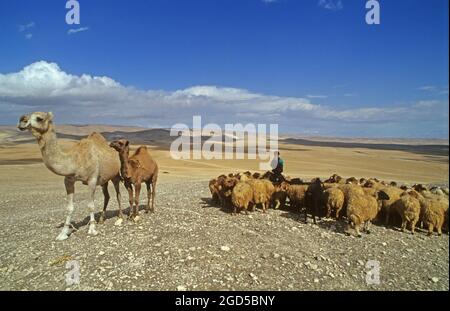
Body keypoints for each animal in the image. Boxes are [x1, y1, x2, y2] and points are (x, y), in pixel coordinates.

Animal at [17, 112, 123, 241]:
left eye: (39, 118)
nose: (22, 120)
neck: (75, 160)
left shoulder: (92, 180)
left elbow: (90, 205)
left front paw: (92, 230)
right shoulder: (68, 180)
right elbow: (69, 208)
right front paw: (63, 233)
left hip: (115, 175)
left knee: (118, 194)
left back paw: (120, 218)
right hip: (104, 180)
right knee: (106, 196)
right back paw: (102, 219)